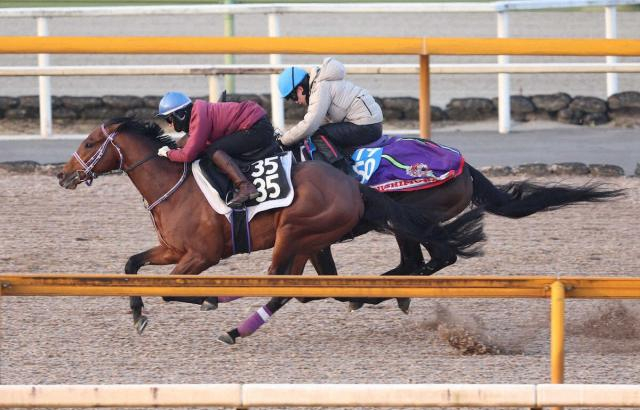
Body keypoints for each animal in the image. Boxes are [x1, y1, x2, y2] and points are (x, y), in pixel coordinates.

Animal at [57, 118, 484, 342]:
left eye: (90, 142)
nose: (63, 174)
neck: (174, 185)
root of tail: (353, 186)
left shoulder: (201, 255)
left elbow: (172, 291)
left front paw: (210, 299)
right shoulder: (173, 250)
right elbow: (131, 265)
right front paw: (136, 314)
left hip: (296, 232)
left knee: (282, 284)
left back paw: (236, 327)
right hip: (309, 240)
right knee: (304, 286)